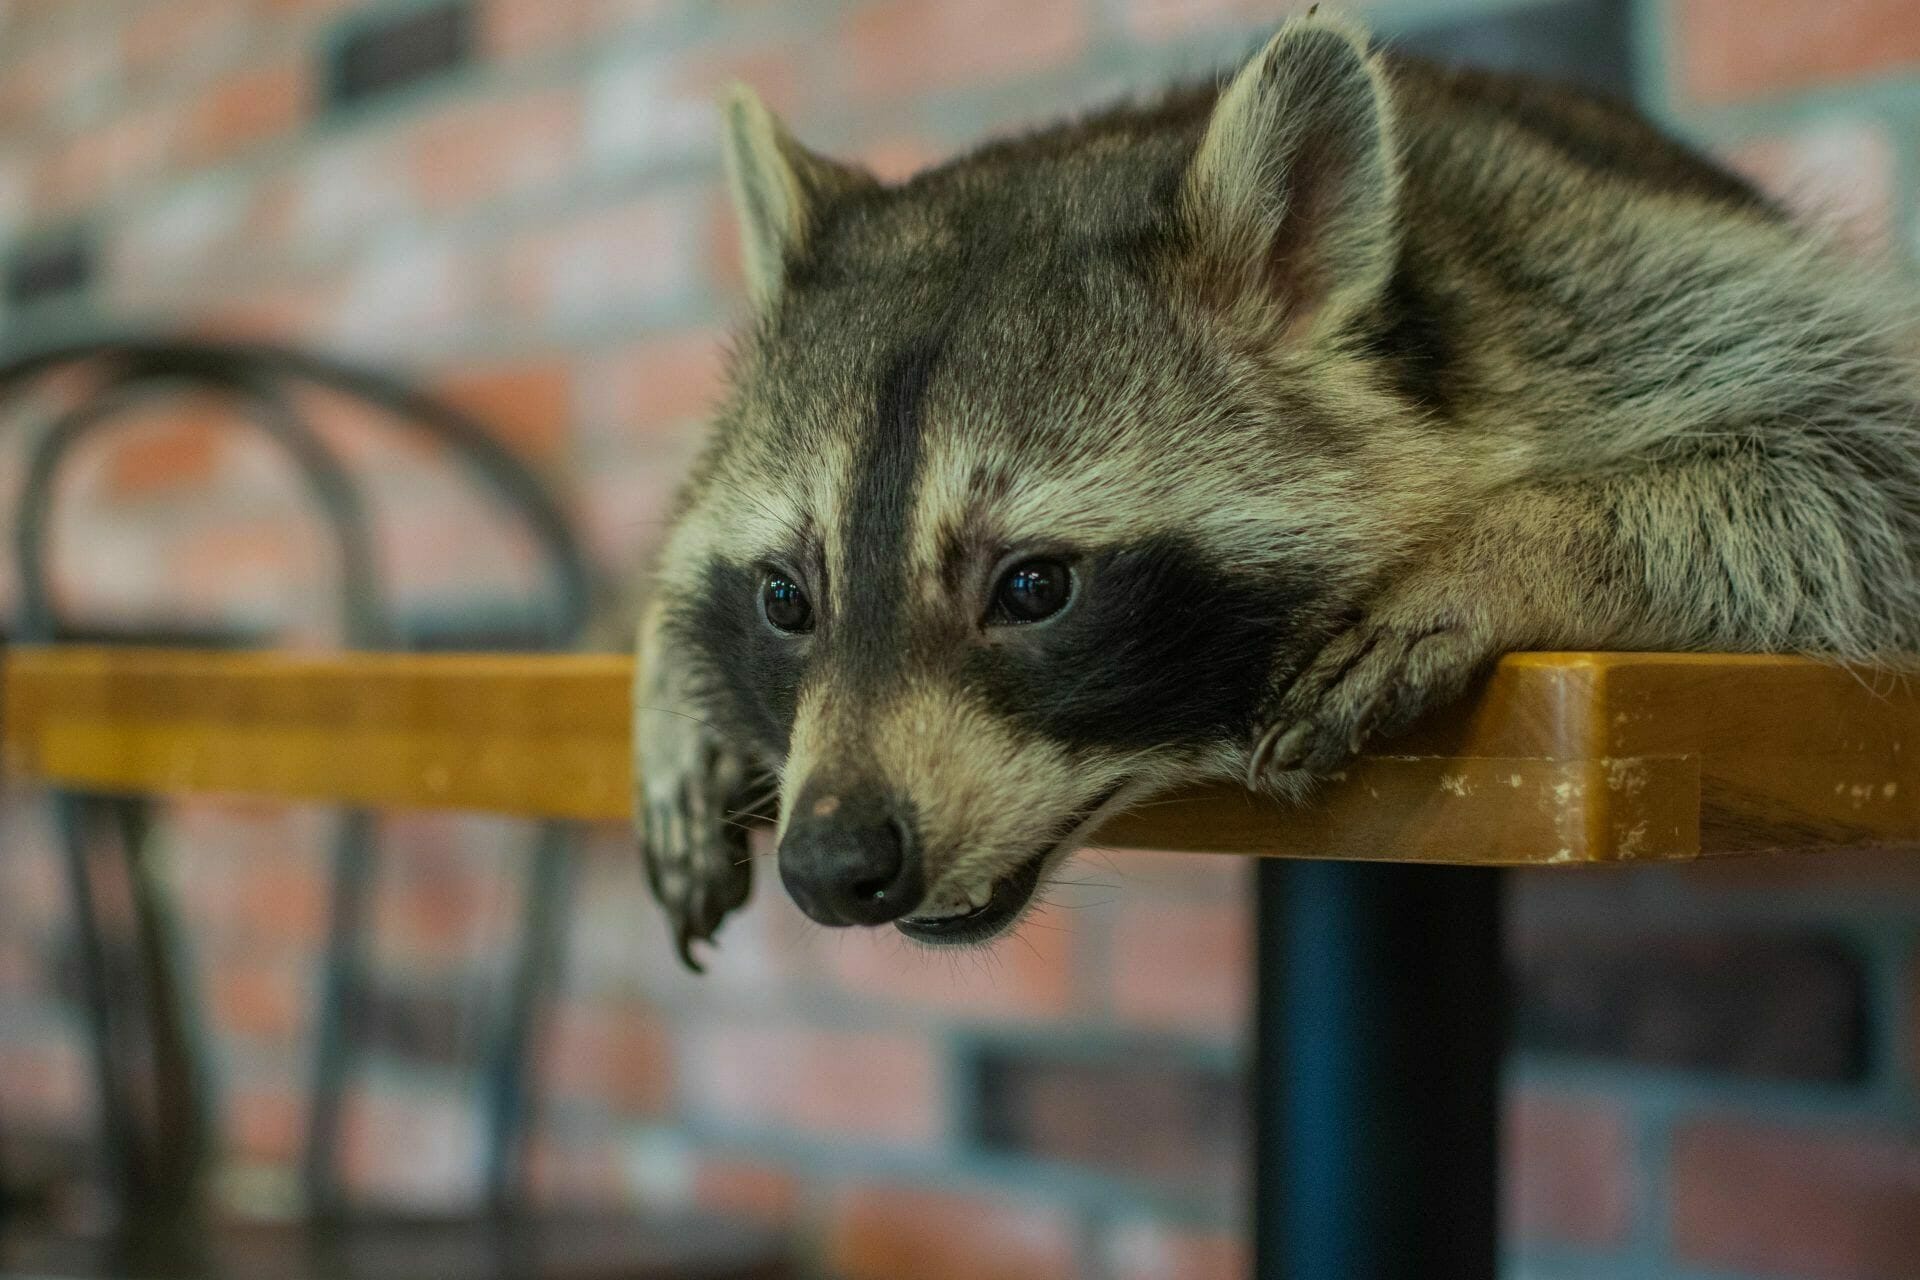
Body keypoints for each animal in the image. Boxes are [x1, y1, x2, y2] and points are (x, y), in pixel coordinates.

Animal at [634, 10, 1920, 969]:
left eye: (1034, 586)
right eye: (786, 599)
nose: (834, 862)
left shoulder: (1588, 282)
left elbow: (1867, 455)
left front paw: (1517, 543)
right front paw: (672, 678)